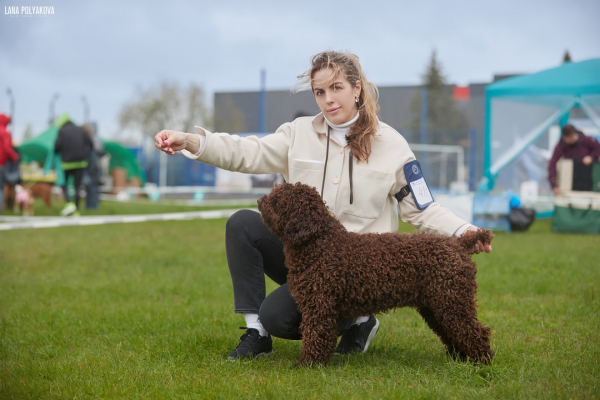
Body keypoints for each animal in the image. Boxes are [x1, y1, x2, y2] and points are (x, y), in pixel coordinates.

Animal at [258, 183, 496, 368]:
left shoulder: (319, 306)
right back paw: (460, 360)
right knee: (453, 333)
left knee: (475, 331)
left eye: (278, 200)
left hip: (452, 301)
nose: (260, 200)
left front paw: (309, 364)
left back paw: (481, 363)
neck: (321, 244)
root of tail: (458, 244)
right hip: (435, 306)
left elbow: (315, 336)